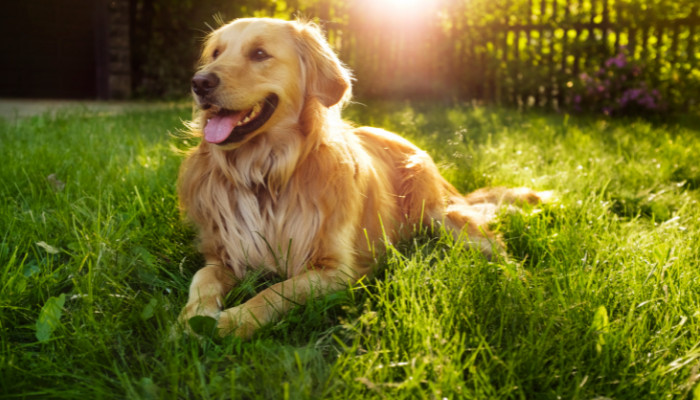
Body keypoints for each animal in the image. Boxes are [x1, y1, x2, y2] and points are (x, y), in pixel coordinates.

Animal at [175, 17, 548, 340]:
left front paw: (234, 321)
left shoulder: (336, 270)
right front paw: (193, 317)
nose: (199, 83)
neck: (265, 174)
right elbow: (203, 277)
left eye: (259, 54)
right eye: (215, 53)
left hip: (442, 216)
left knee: (499, 249)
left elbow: (277, 291)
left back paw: (523, 285)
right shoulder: (225, 254)